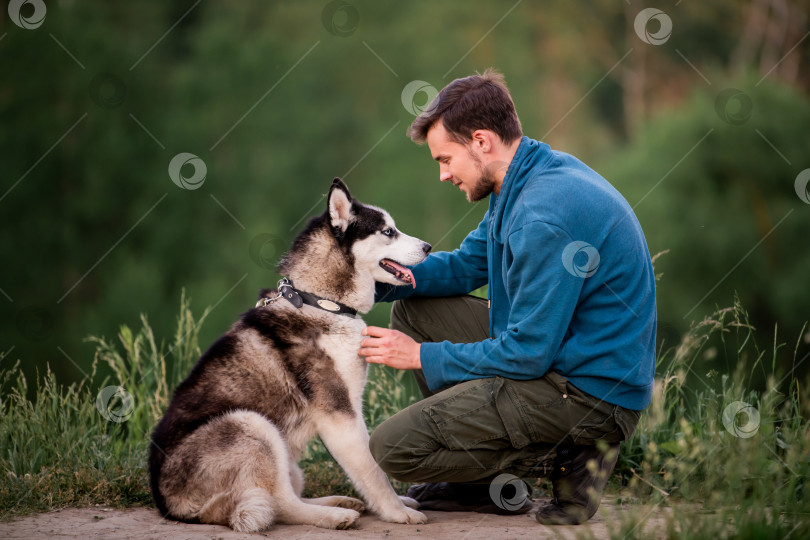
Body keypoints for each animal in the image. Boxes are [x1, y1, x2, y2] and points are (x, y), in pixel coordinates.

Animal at [149, 180, 432, 532]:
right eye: (388, 231)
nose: (428, 247)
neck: (319, 301)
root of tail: (167, 505)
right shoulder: (340, 413)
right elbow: (372, 470)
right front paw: (396, 511)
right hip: (252, 424)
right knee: (281, 503)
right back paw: (335, 515)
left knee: (286, 493)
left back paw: (339, 502)